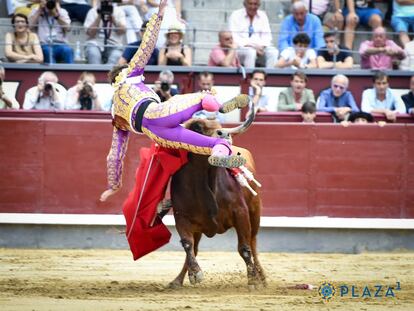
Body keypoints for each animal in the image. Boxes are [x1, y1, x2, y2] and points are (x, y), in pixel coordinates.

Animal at [168, 101, 266, 288]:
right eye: (197, 127)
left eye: (219, 124)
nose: (225, 134)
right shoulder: (181, 217)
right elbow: (187, 245)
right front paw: (194, 273)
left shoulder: (241, 212)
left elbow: (244, 248)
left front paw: (253, 280)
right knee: (194, 248)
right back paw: (178, 280)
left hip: (255, 213)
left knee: (253, 242)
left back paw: (261, 277)